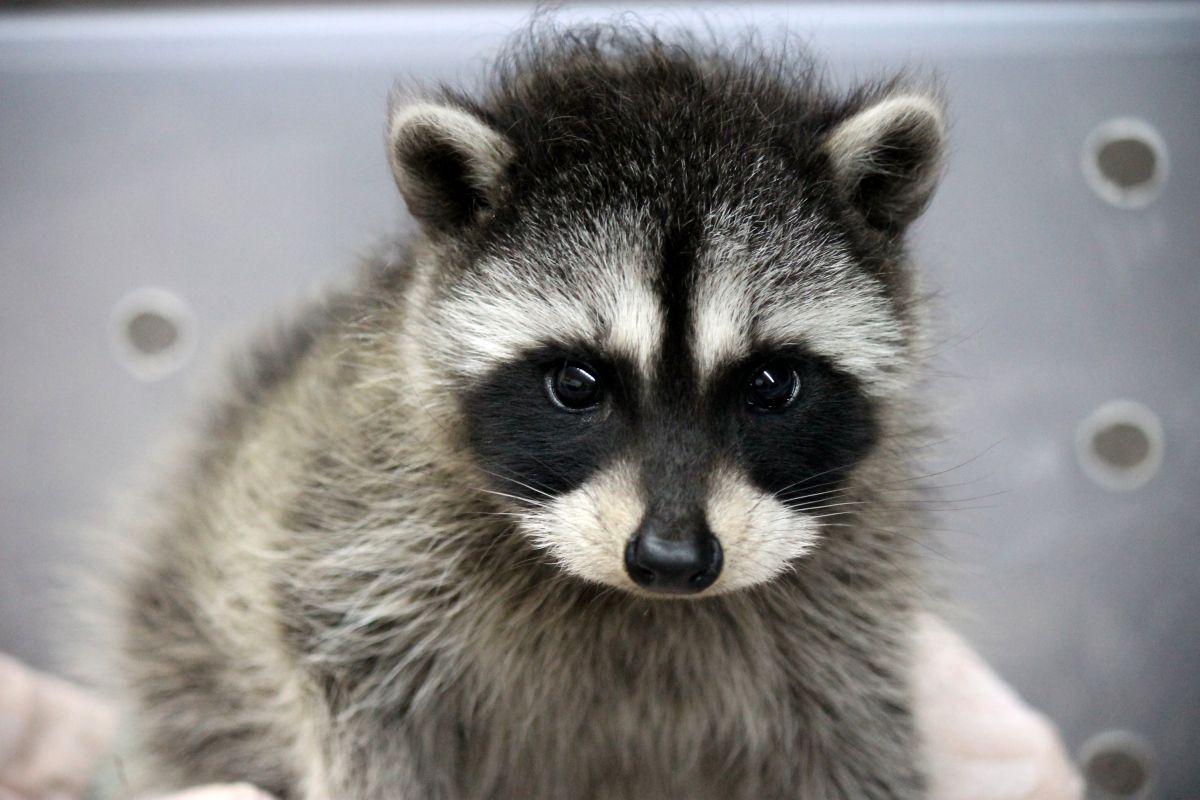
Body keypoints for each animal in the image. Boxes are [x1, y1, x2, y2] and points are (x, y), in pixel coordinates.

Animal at [106, 24, 948, 800]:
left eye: (771, 384)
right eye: (576, 383)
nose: (672, 560)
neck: (634, 601)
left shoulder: (849, 610)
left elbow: (853, 740)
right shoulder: (354, 536)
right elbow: (364, 707)